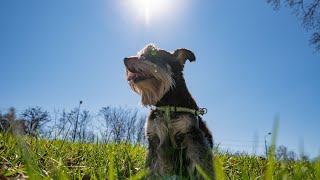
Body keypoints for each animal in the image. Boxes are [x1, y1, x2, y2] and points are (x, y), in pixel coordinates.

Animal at [124, 43, 214, 179]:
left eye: (152, 54)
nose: (125, 59)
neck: (167, 104)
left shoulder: (193, 135)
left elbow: (202, 164)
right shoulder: (154, 139)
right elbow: (151, 165)